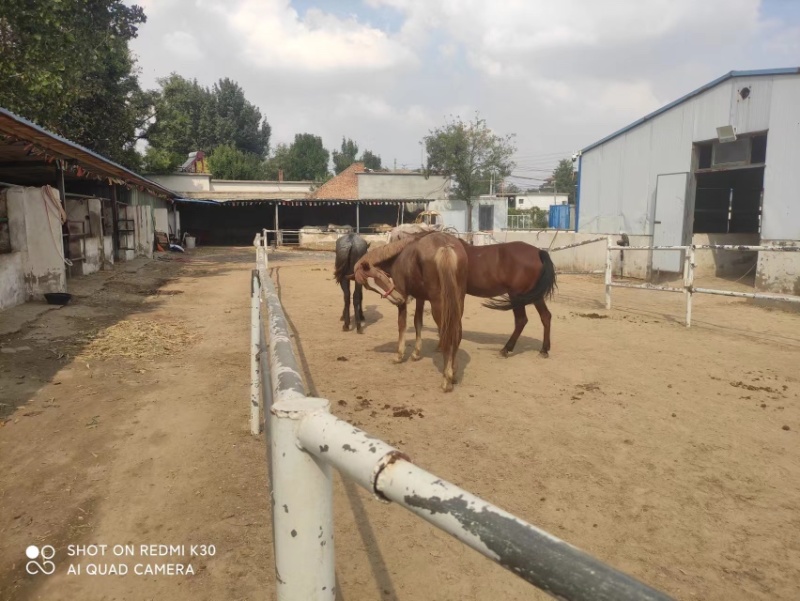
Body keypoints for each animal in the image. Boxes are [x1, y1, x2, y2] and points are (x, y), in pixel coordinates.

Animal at [352, 232, 468, 392]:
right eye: (369, 287)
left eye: (378, 277)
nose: (397, 300)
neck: (399, 255)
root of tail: (445, 245)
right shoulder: (420, 297)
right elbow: (417, 322)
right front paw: (416, 353)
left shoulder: (405, 295)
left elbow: (402, 325)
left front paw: (399, 355)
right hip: (457, 301)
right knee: (456, 334)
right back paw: (454, 373)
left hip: (439, 304)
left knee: (447, 335)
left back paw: (447, 379)